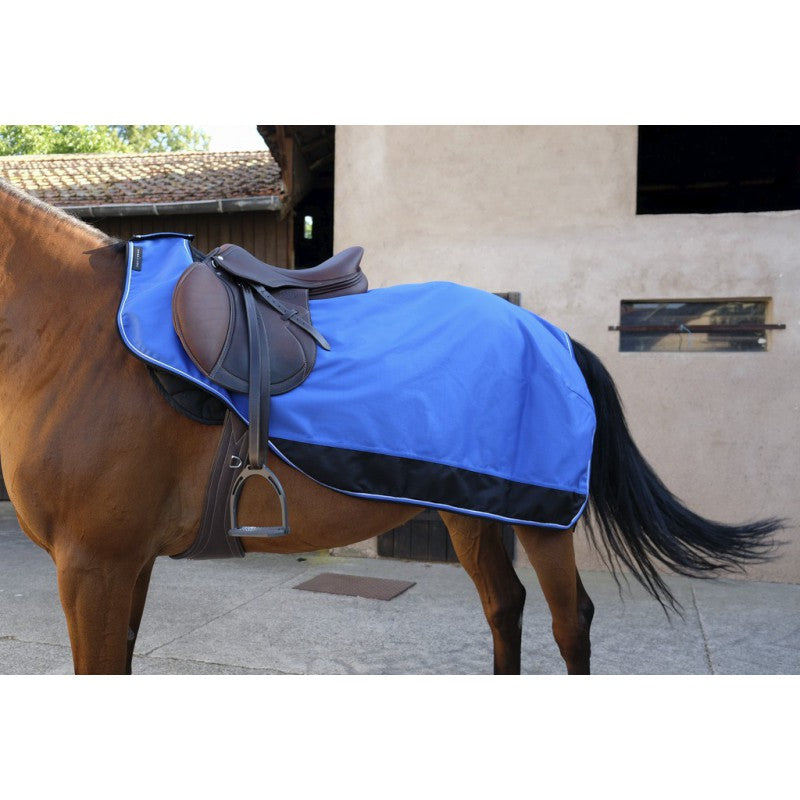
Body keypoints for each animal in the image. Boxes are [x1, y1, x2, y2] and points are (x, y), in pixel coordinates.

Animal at [0, 179, 783, 675]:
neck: (76, 334)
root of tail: (552, 334)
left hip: (541, 518)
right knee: (506, 607)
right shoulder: (123, 565)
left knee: (571, 624)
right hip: (472, 508)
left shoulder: (95, 565)